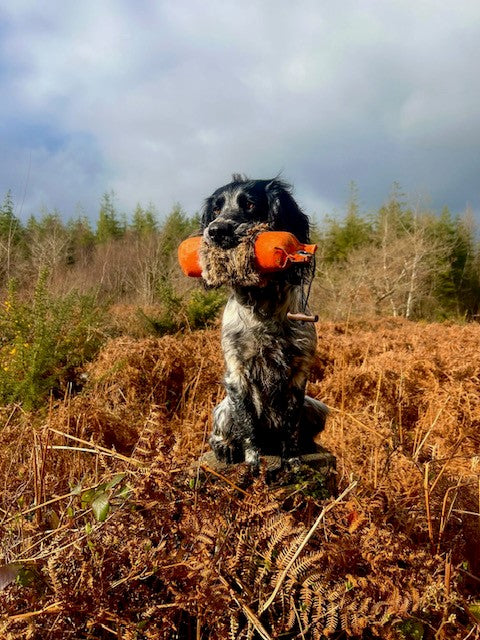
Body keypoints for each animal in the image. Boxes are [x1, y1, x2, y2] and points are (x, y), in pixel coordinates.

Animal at [199, 175, 326, 470]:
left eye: (249, 204)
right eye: (215, 209)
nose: (215, 231)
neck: (263, 304)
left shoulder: (298, 371)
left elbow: (290, 425)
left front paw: (292, 460)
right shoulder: (237, 372)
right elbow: (248, 426)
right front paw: (252, 462)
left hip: (318, 407)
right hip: (223, 407)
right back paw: (224, 447)